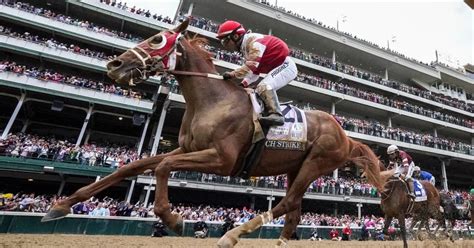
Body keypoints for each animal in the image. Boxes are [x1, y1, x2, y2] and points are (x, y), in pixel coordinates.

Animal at [43, 19, 386, 248]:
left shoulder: (223, 160)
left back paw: (232, 235)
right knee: (293, 212)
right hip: (295, 167)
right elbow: (135, 166)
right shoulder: (186, 149)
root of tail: (346, 135)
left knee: (287, 203)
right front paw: (62, 205)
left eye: (157, 40)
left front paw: (173, 218)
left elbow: (163, 167)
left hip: (316, 163)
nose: (114, 64)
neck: (212, 100)